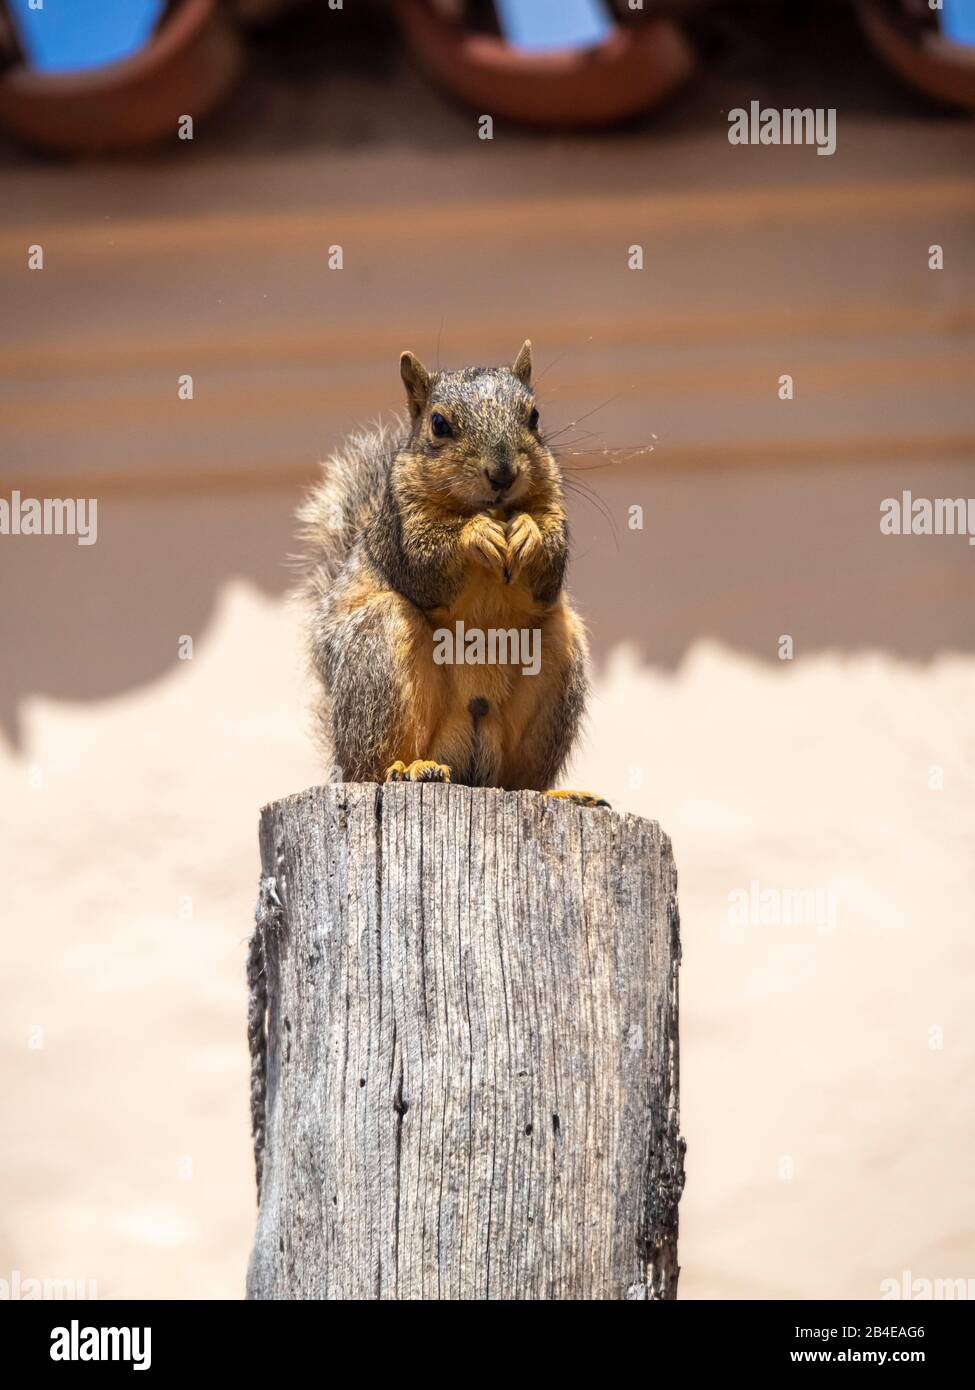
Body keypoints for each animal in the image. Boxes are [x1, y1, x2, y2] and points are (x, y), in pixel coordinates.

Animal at [296, 337, 603, 811]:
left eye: (534, 416)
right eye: (439, 425)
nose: (503, 474)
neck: (491, 509)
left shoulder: (552, 514)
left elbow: (548, 572)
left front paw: (529, 532)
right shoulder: (400, 535)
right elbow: (428, 565)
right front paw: (475, 534)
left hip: (553, 663)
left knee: (520, 780)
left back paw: (559, 792)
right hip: (379, 660)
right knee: (375, 765)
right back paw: (409, 768)